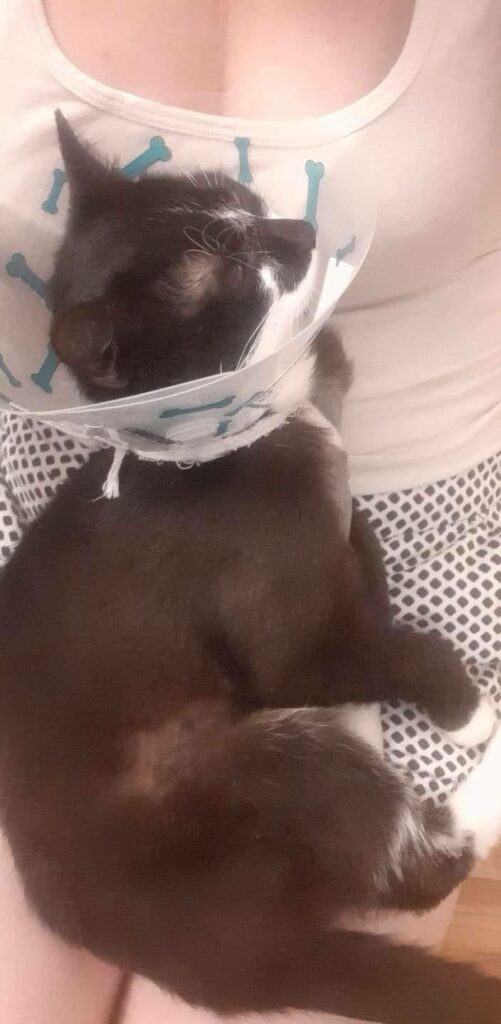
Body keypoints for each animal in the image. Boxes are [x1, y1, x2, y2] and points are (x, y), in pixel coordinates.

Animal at [0, 111, 500, 1024]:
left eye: (238, 196)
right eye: (230, 269)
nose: (299, 230)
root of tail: (225, 963)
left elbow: (357, 565)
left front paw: (359, 551)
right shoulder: (273, 623)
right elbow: (351, 652)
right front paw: (460, 708)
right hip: (242, 776)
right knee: (408, 860)